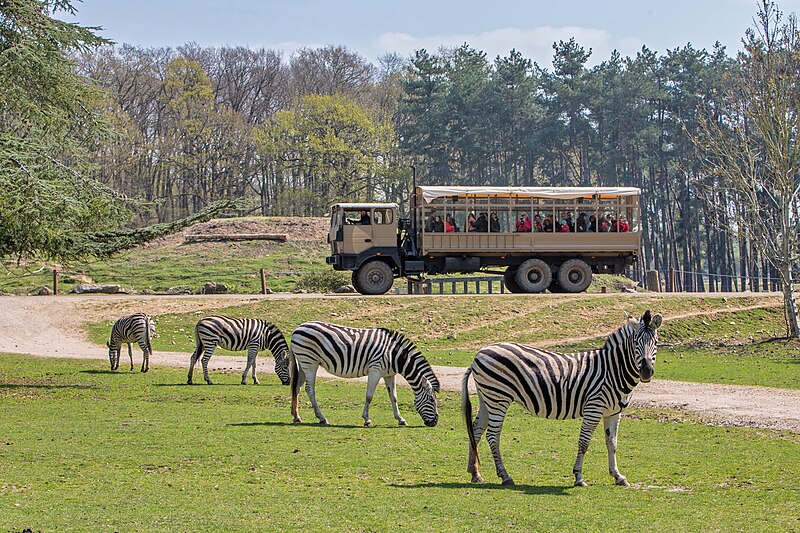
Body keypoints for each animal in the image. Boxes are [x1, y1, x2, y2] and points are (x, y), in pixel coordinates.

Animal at [290, 320, 440, 428]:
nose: (434, 423)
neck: (394, 355)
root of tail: (297, 328)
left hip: (303, 363)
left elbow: (393, 397)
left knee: (297, 387)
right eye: (432, 400)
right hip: (310, 362)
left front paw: (400, 419)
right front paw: (367, 420)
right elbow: (369, 396)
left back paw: (296, 416)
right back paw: (322, 418)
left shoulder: (389, 374)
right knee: (310, 389)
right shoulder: (375, 370)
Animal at [462, 308, 664, 486]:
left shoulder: (613, 413)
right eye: (636, 342)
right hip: (499, 397)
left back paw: (475, 473)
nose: (646, 371)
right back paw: (505, 476)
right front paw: (579, 477)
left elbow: (612, 443)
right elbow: (584, 443)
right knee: (492, 435)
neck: (613, 370)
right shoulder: (594, 408)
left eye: (655, 343)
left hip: (487, 397)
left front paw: (618, 476)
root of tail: (479, 354)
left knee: (476, 430)